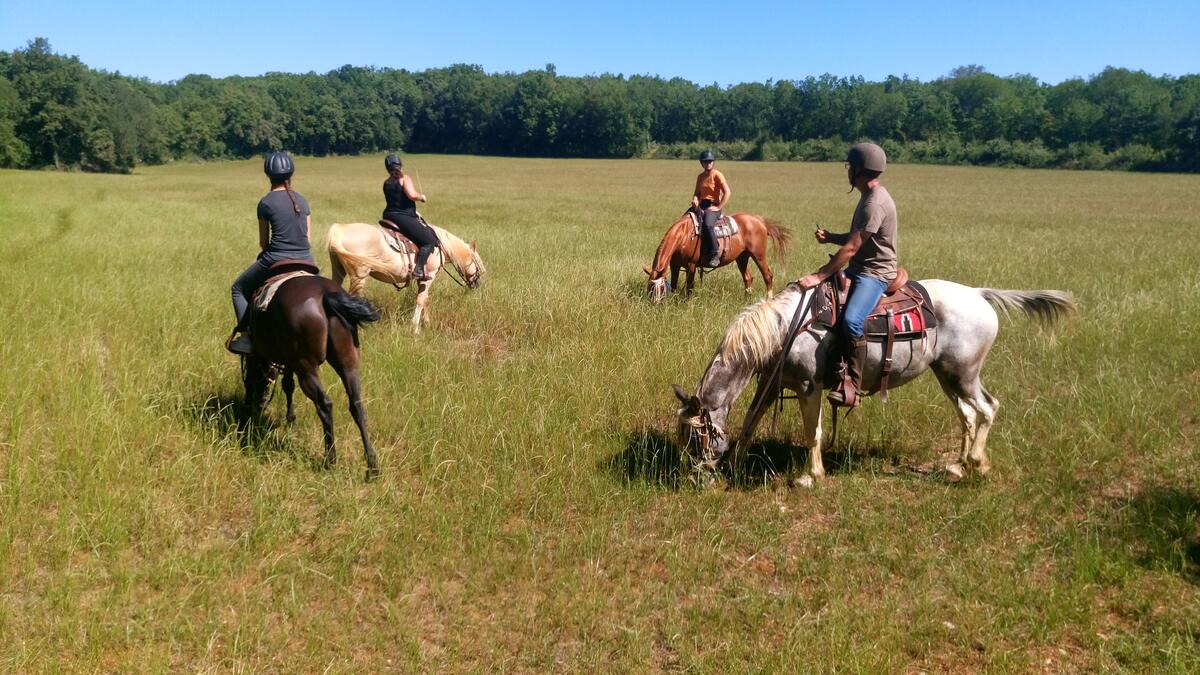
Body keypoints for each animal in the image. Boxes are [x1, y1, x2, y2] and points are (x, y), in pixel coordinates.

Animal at [240, 271, 379, 478]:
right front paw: (290, 420)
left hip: (306, 368)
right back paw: (372, 465)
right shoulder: (288, 362)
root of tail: (326, 295)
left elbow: (260, 380)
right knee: (357, 406)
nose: (259, 404)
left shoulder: (260, 356)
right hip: (348, 364)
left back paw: (330, 460)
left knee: (325, 404)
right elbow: (288, 385)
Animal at [326, 219, 484, 331]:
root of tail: (340, 229)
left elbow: (425, 300)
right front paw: (415, 328)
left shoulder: (422, 280)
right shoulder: (429, 277)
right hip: (359, 276)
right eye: (478, 266)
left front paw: (427, 323)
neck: (440, 246)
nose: (477, 285)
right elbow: (421, 300)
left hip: (339, 271)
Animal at [643, 211, 792, 300]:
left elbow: (690, 286)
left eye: (661, 288)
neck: (684, 236)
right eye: (649, 288)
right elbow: (674, 284)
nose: (655, 304)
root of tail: (760, 221)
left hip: (758, 255)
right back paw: (746, 298)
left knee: (768, 275)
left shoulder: (691, 265)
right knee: (748, 277)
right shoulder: (674, 265)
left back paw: (768, 300)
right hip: (742, 257)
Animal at [676, 277, 1080, 482]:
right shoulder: (771, 383)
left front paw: (812, 475)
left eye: (695, 437)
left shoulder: (809, 387)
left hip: (963, 373)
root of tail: (979, 294)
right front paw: (735, 463)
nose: (695, 476)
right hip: (948, 375)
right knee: (968, 414)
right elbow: (749, 422)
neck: (785, 328)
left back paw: (977, 462)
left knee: (988, 408)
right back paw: (957, 465)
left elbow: (813, 433)